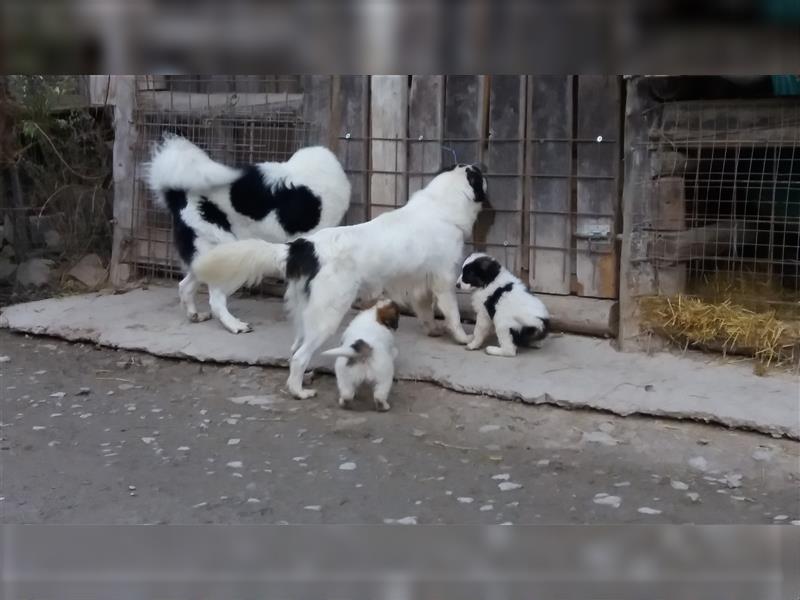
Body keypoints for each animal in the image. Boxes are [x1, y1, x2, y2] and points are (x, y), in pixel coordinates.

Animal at [146, 134, 350, 336]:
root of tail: (178, 194)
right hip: (229, 258)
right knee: (215, 299)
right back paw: (235, 325)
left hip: (207, 258)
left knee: (185, 286)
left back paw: (195, 315)